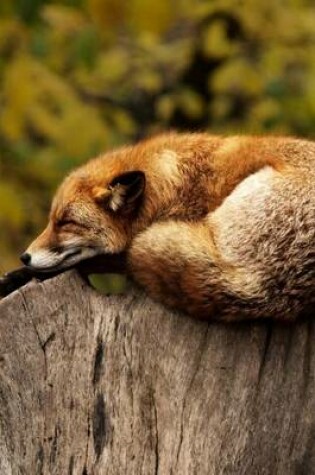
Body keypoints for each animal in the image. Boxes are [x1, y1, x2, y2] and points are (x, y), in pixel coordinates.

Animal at [0, 132, 315, 322]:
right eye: (51, 220)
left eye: (66, 223)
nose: (24, 256)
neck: (171, 185)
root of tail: (263, 288)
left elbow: (95, 261)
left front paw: (20, 275)